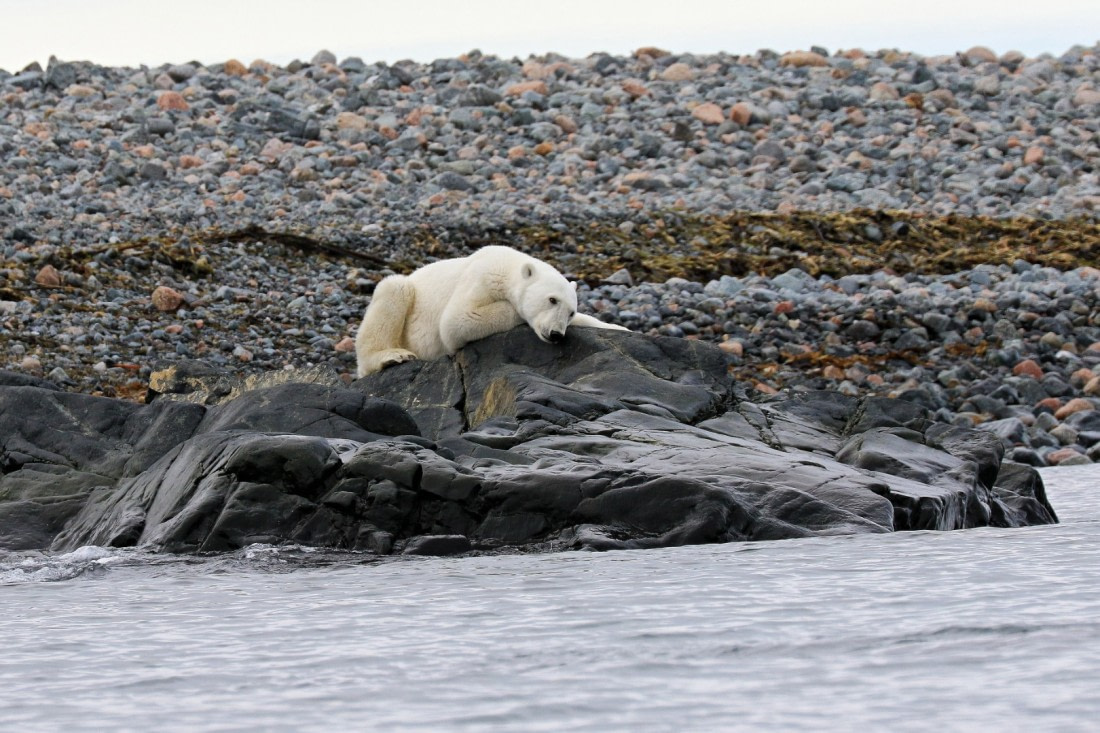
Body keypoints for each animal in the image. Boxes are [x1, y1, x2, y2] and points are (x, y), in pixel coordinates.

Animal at [355, 245, 628, 376]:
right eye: (552, 300)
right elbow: (457, 321)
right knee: (394, 289)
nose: (555, 334)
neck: (508, 266)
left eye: (570, 312)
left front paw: (620, 328)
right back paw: (391, 355)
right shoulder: (481, 277)